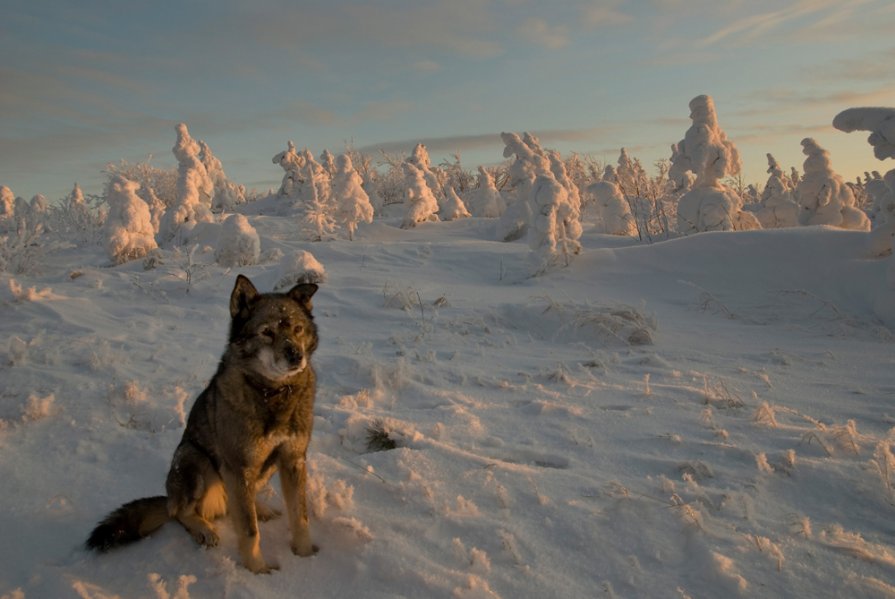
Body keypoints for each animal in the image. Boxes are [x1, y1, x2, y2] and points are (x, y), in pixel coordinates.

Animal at [85, 274, 322, 576]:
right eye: (267, 332)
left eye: (298, 329)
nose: (295, 355)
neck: (273, 393)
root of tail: (168, 496)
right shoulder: (238, 467)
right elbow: (249, 531)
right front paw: (257, 570)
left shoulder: (293, 460)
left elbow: (300, 518)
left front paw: (305, 556)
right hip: (193, 459)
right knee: (181, 513)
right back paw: (204, 530)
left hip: (259, 470)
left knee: (236, 504)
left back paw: (260, 509)